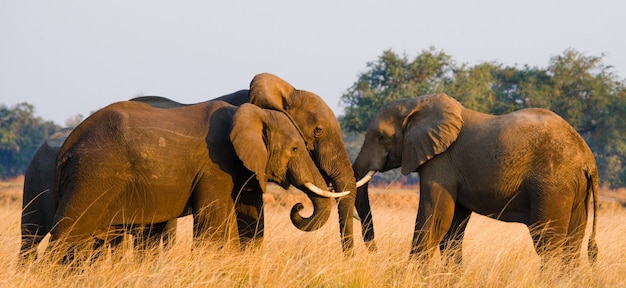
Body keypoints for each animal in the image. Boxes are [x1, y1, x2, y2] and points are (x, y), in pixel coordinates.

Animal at [47, 99, 346, 264]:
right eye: (295, 148)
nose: (298, 207)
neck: (252, 114)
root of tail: (66, 148)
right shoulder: (215, 165)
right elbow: (213, 224)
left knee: (83, 242)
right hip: (92, 175)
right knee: (67, 236)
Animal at [354, 93, 596, 266]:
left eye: (380, 137)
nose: (376, 253)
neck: (416, 103)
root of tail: (588, 159)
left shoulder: (441, 162)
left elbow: (435, 220)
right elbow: (452, 230)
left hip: (552, 187)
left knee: (548, 244)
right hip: (574, 190)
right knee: (572, 245)